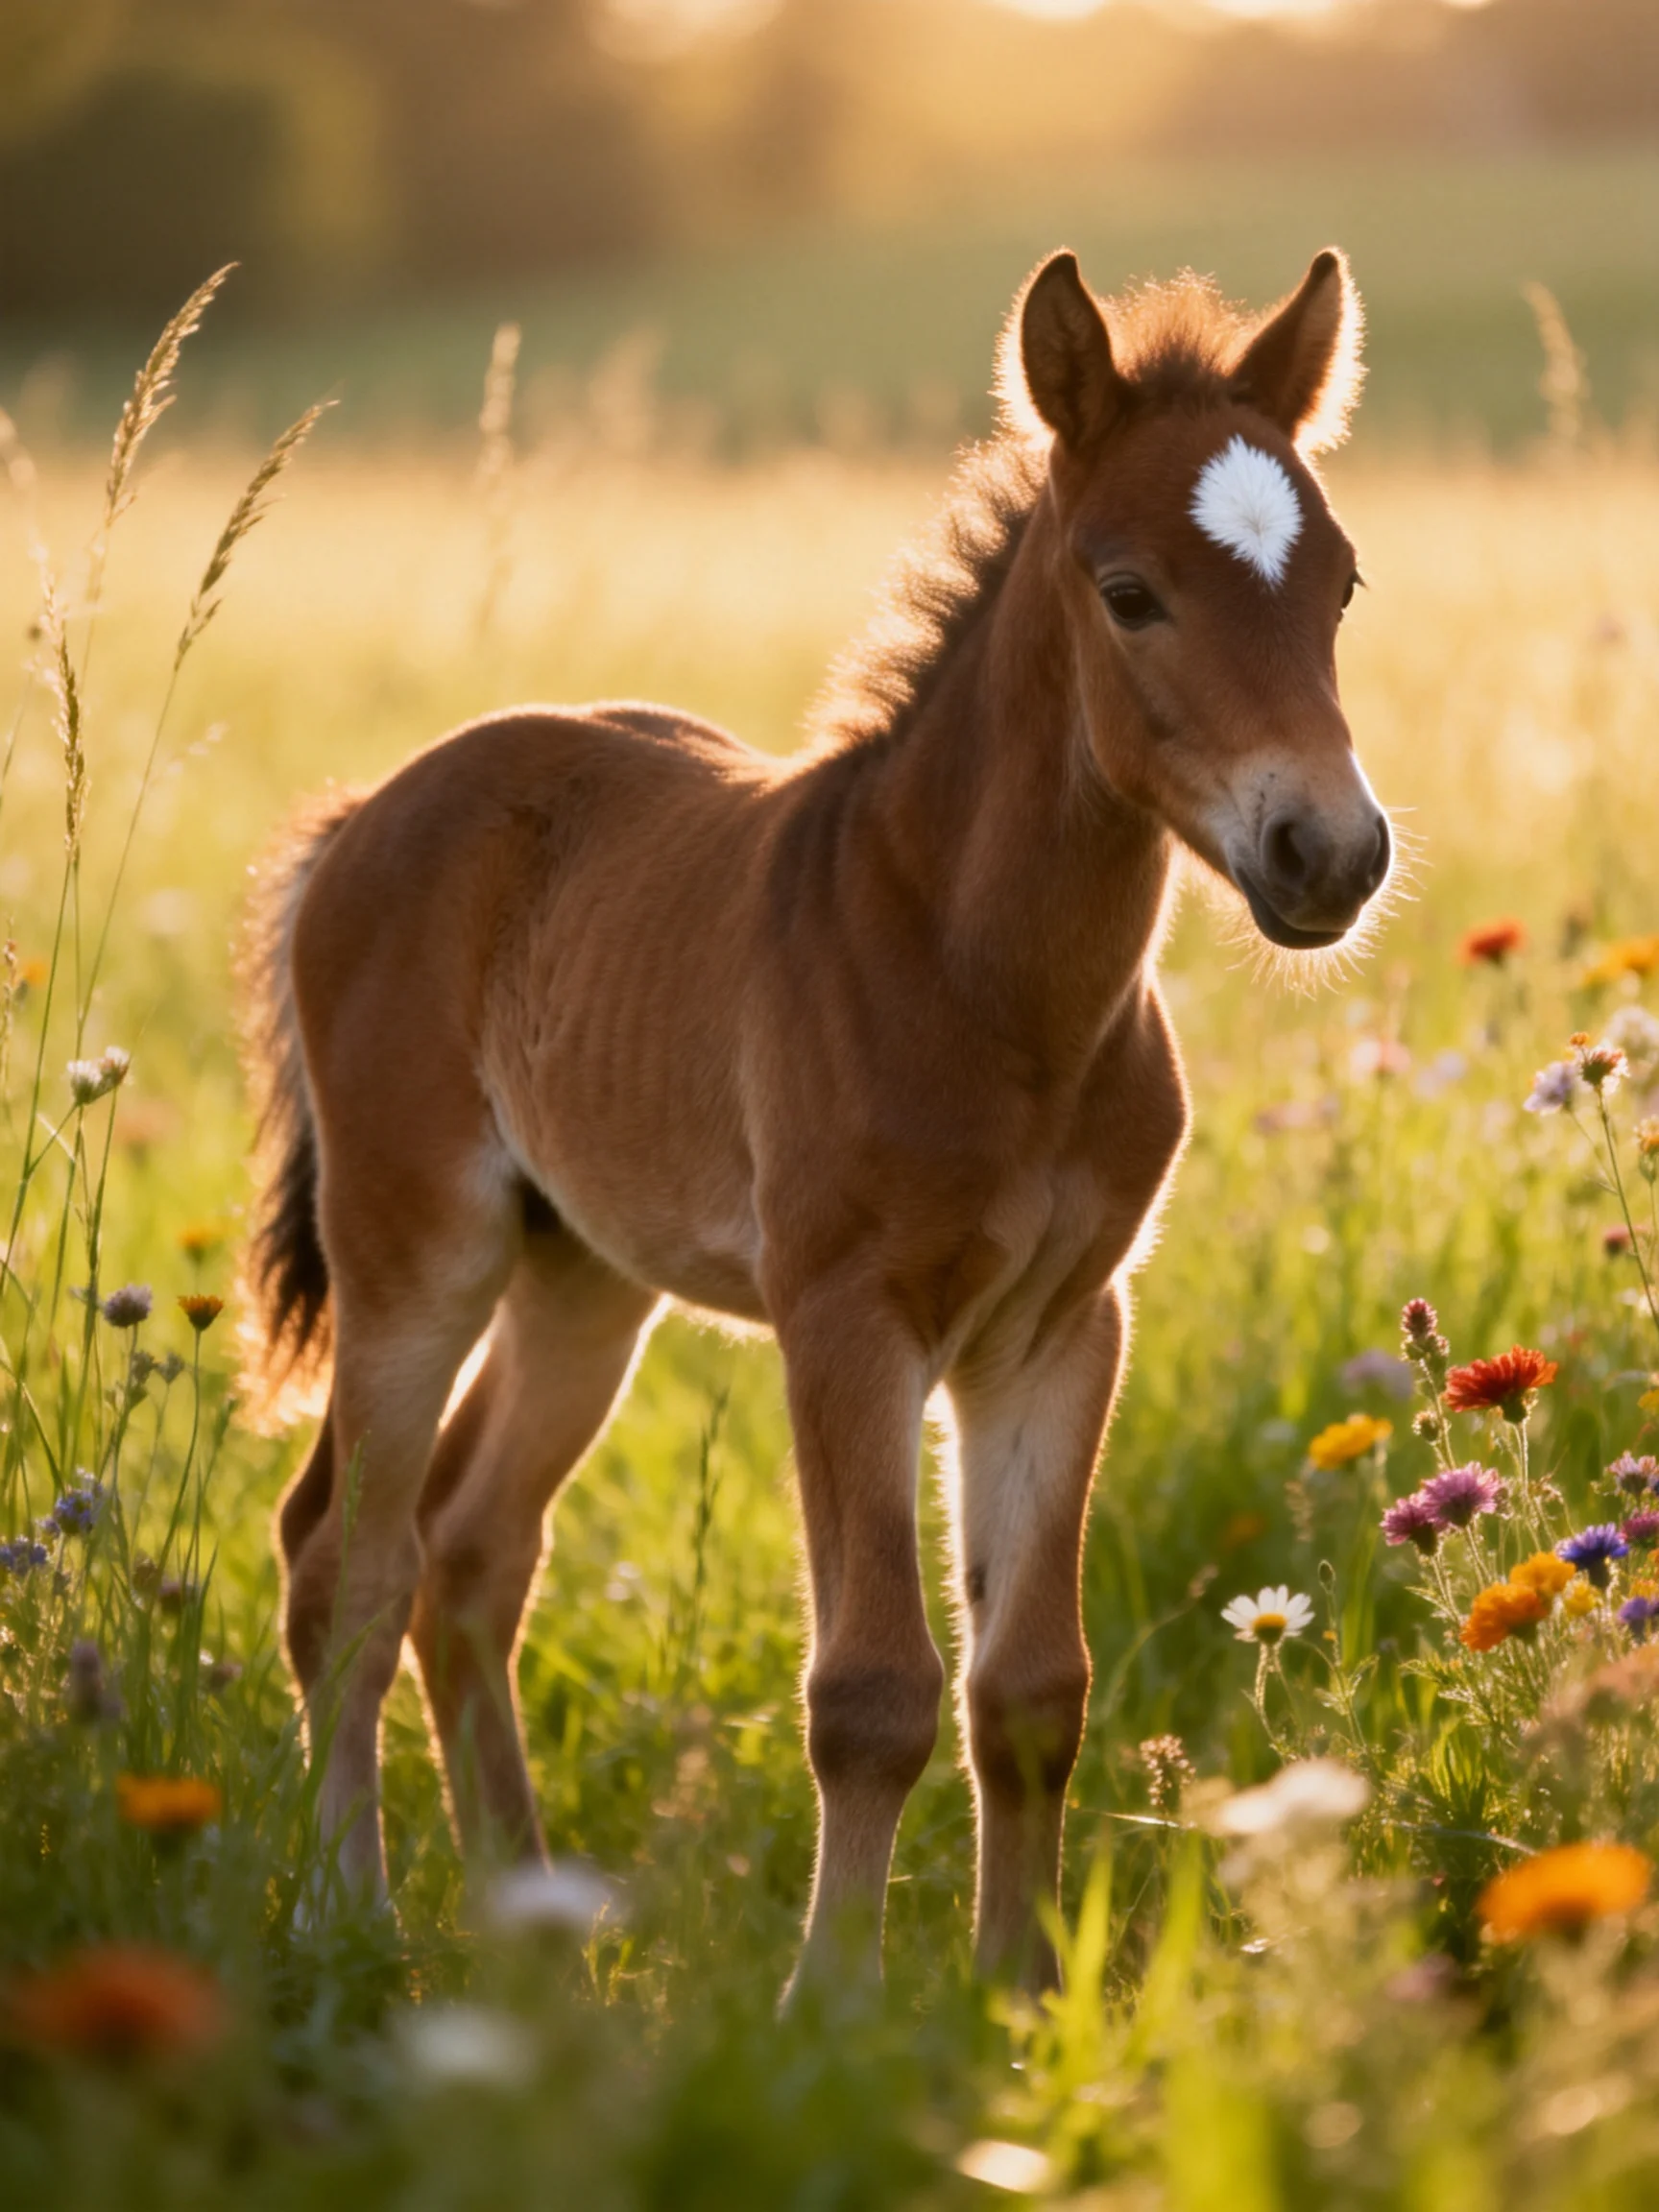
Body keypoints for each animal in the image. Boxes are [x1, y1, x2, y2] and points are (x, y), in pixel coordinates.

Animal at [242, 245, 1390, 1993]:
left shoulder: (1061, 1327)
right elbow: (871, 1691)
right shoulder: (844, 1314)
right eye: (1129, 590)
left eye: (1336, 586)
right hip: (412, 1246)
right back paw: (345, 1916)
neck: (974, 973)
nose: (1327, 851)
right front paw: (832, 2005)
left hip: (582, 1271)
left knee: (470, 1553)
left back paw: (530, 1926)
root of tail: (364, 815)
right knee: (346, 1565)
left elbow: (1027, 1688)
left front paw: (1018, 1995)